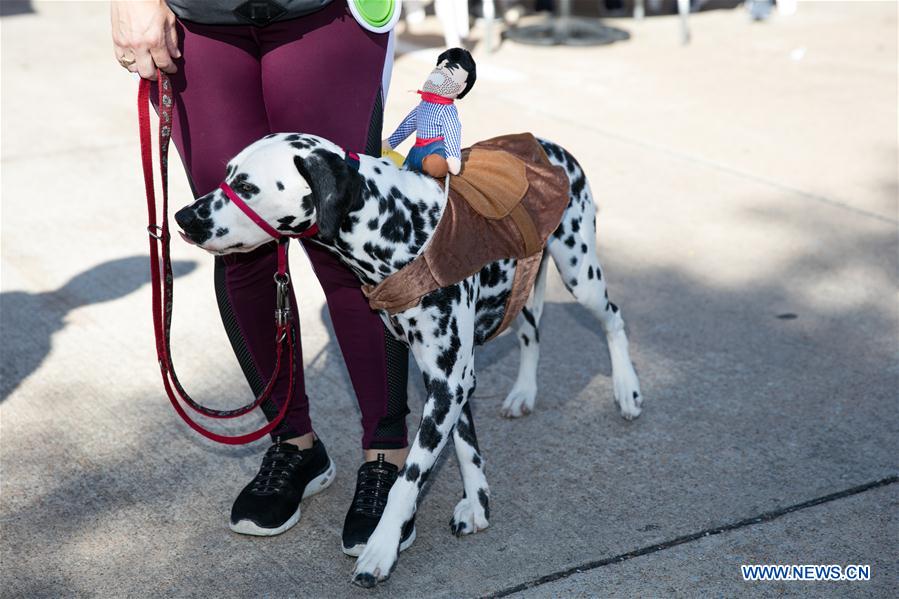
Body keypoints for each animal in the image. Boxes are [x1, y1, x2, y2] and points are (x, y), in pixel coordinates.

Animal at [174, 131, 640, 584]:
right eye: (227, 173)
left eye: (246, 186)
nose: (182, 217)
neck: (397, 226)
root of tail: (550, 145)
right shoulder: (453, 382)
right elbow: (466, 447)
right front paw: (478, 505)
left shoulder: (448, 384)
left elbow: (407, 478)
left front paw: (380, 549)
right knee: (531, 329)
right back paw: (524, 393)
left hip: (580, 273)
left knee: (614, 318)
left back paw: (627, 391)